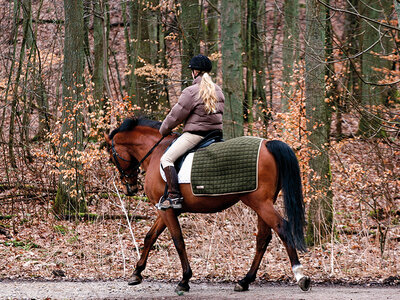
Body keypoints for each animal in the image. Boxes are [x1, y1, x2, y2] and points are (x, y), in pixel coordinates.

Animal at [104, 117, 310, 292]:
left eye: (112, 157)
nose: (130, 188)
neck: (157, 151)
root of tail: (268, 143)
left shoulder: (166, 210)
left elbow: (178, 241)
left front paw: (184, 280)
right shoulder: (166, 209)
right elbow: (150, 237)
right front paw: (136, 273)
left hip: (260, 203)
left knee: (282, 228)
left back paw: (300, 276)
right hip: (263, 204)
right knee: (263, 238)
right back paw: (244, 281)